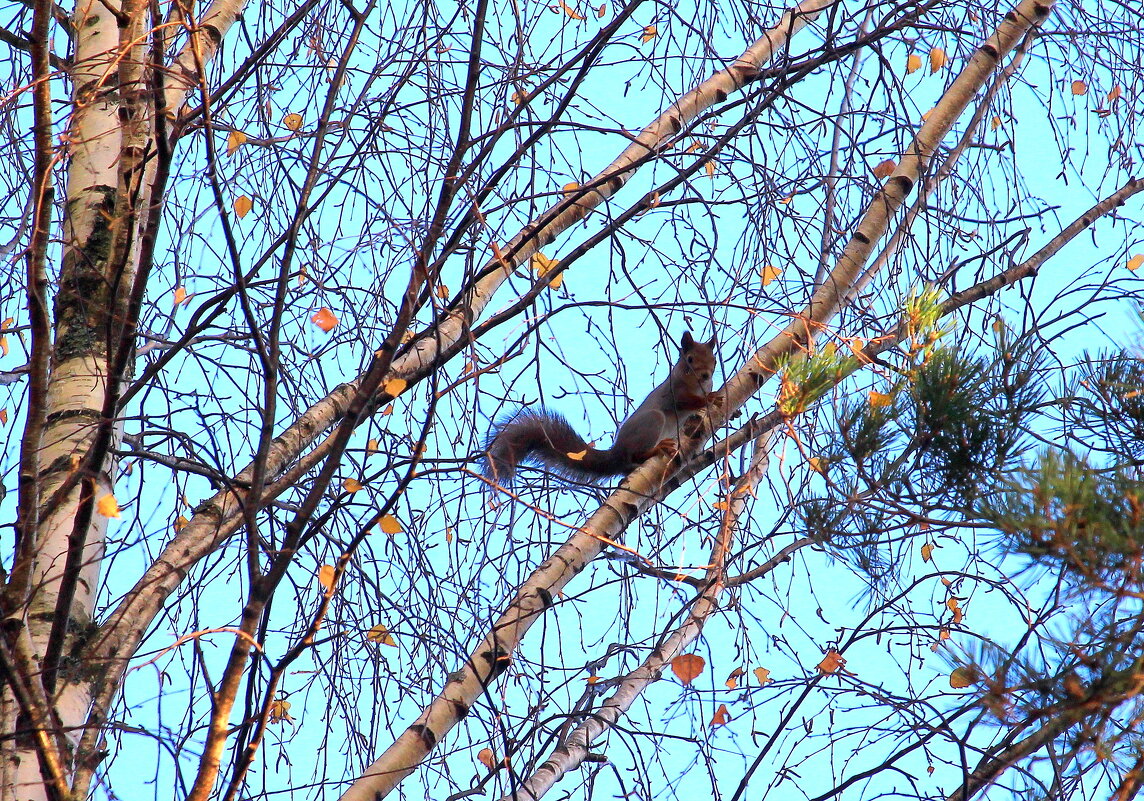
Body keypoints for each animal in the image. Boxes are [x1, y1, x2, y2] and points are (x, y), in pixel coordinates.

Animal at [480, 329, 713, 485]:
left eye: (714, 359)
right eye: (690, 359)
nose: (706, 375)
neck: (695, 385)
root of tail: (616, 453)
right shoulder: (674, 392)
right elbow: (685, 401)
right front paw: (710, 398)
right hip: (653, 420)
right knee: (634, 456)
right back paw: (655, 449)